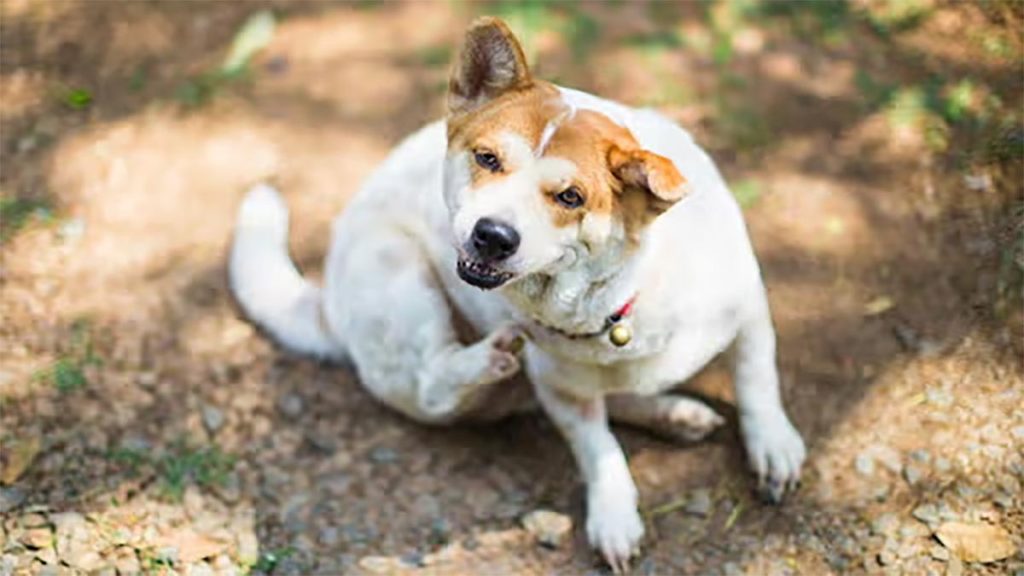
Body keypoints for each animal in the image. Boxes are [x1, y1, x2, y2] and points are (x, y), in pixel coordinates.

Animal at [228, 17, 802, 569]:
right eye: (487, 159)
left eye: (570, 197)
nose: (493, 235)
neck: (621, 300)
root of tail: (327, 301)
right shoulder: (561, 391)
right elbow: (599, 449)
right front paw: (615, 516)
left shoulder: (749, 309)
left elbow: (757, 381)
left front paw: (773, 444)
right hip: (399, 277)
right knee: (435, 382)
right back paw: (486, 361)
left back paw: (674, 414)